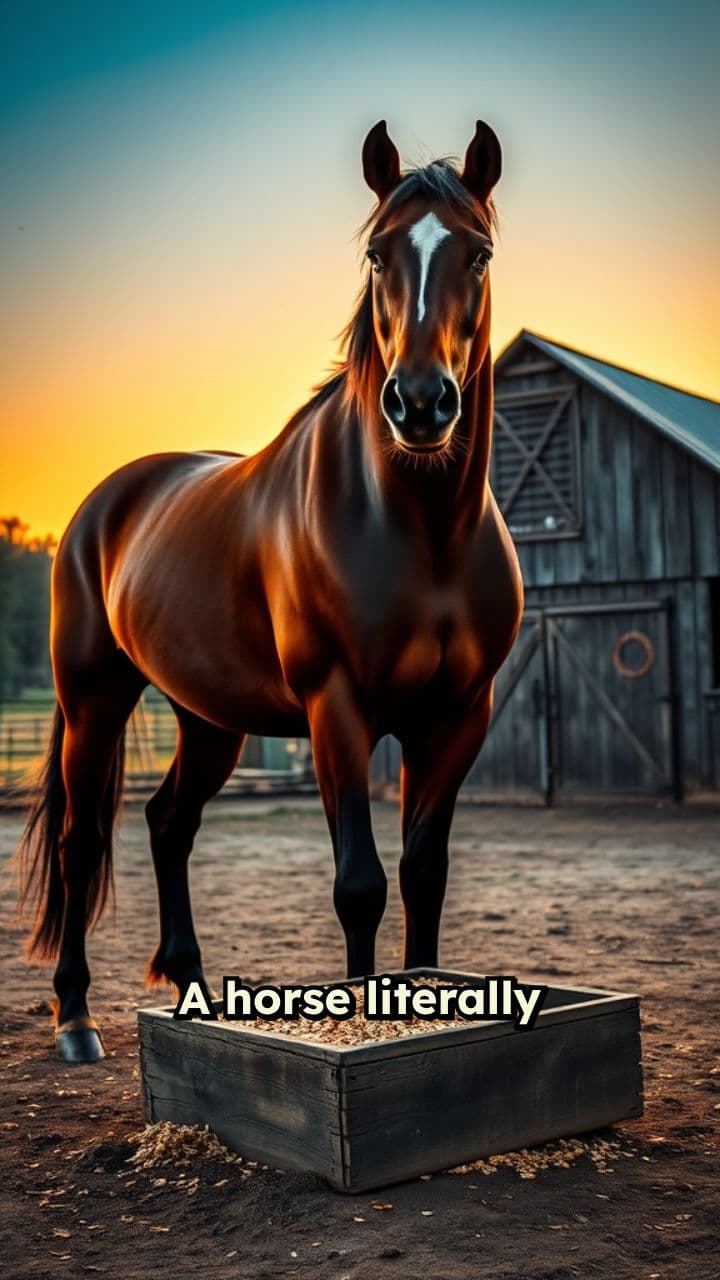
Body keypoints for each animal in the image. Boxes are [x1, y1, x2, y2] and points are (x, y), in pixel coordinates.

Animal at [17, 119, 523, 1062]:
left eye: (476, 254)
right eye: (376, 254)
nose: (421, 404)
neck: (421, 531)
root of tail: (105, 504)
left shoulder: (455, 716)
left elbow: (423, 875)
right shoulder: (338, 708)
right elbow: (360, 884)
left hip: (209, 718)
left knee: (168, 821)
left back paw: (188, 983)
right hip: (95, 699)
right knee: (81, 841)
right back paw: (74, 1020)